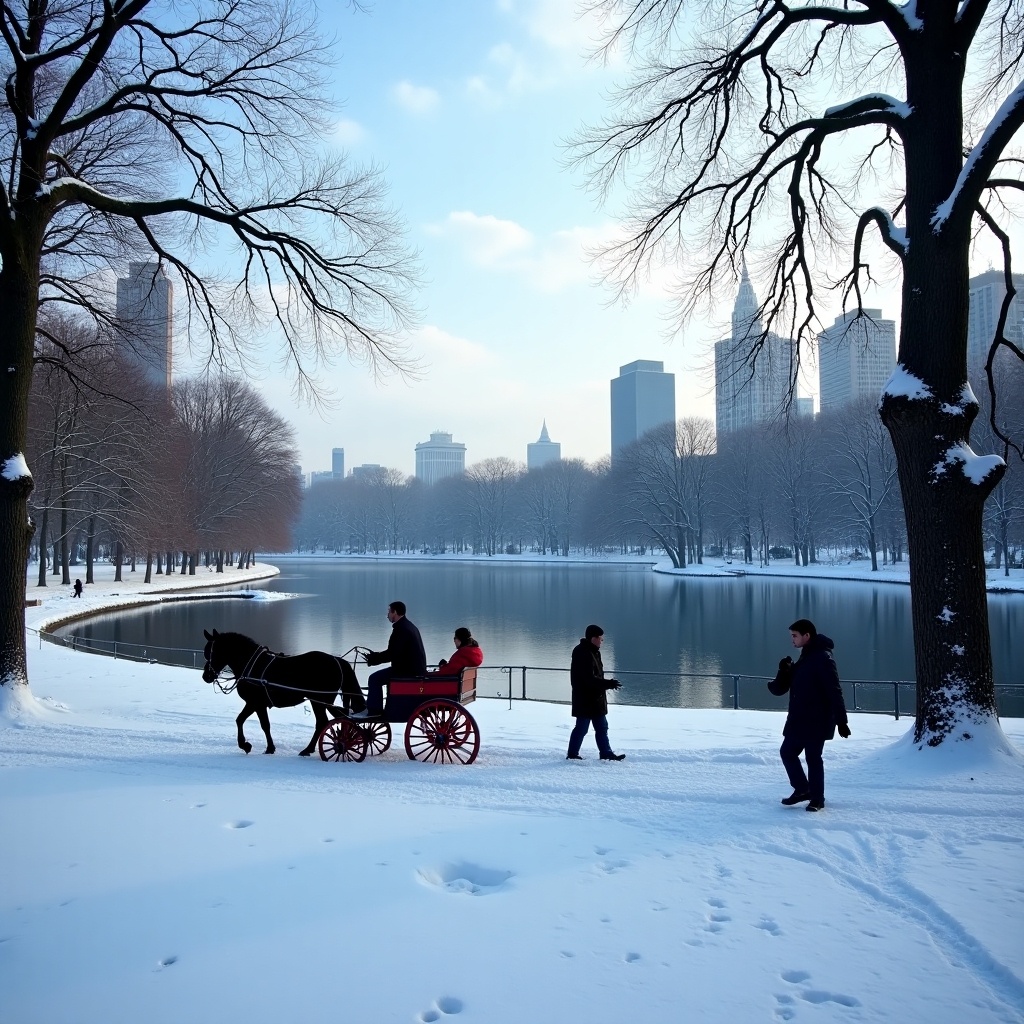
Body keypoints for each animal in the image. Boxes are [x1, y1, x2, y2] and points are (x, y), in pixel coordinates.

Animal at [201, 626, 366, 757]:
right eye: (206, 652)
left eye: (214, 652)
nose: (206, 676)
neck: (252, 666)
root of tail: (337, 660)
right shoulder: (254, 703)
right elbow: (242, 720)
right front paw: (251, 745)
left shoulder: (256, 703)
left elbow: (262, 724)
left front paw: (256, 746)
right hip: (322, 702)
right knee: (338, 718)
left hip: (319, 701)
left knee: (323, 722)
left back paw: (310, 749)